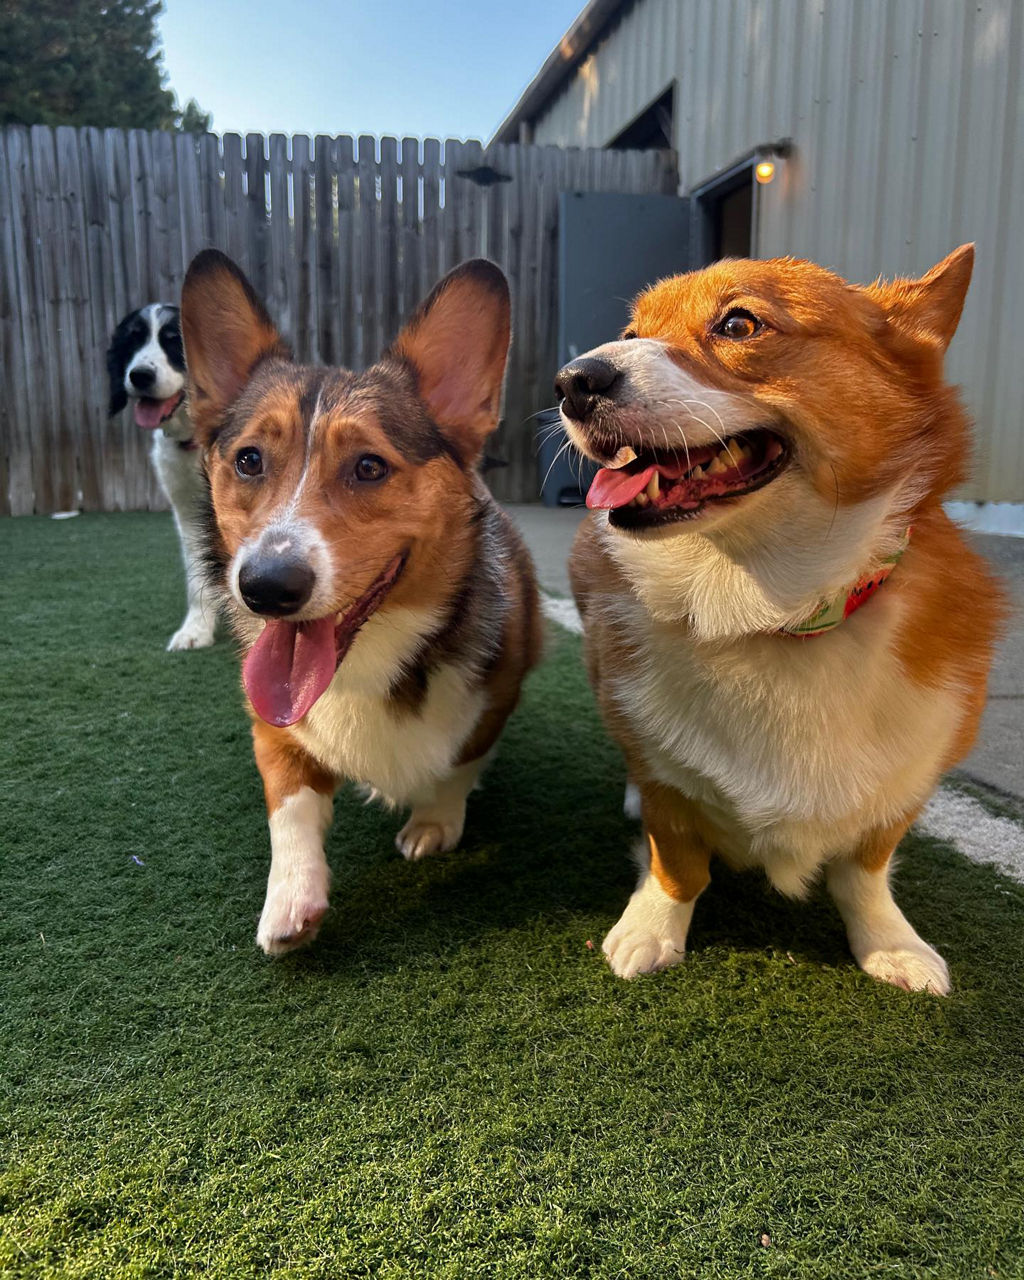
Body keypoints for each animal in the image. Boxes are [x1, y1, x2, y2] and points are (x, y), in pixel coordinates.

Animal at [106, 304, 218, 650]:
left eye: (173, 340)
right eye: (133, 339)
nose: (140, 375)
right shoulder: (188, 510)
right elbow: (197, 574)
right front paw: (196, 630)